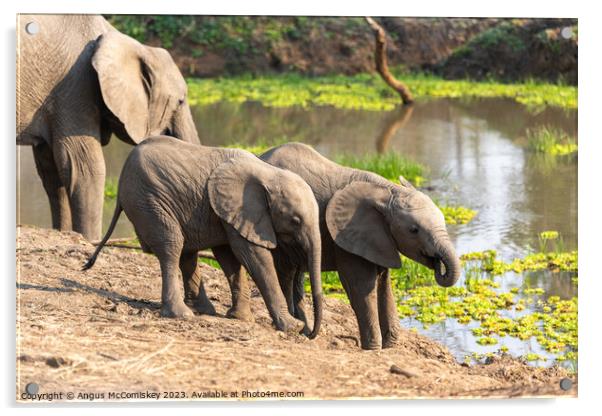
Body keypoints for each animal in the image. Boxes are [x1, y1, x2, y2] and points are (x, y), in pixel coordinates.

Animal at [16, 15, 198, 240]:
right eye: (180, 101)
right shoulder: (75, 88)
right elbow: (85, 168)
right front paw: (89, 240)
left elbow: (51, 171)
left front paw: (65, 234)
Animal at [83, 136, 324, 338]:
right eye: (295, 220)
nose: (310, 334)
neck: (269, 173)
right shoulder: (242, 210)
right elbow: (253, 256)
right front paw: (291, 327)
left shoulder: (225, 212)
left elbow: (229, 257)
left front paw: (241, 318)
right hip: (149, 201)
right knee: (172, 245)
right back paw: (182, 314)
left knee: (187, 253)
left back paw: (203, 310)